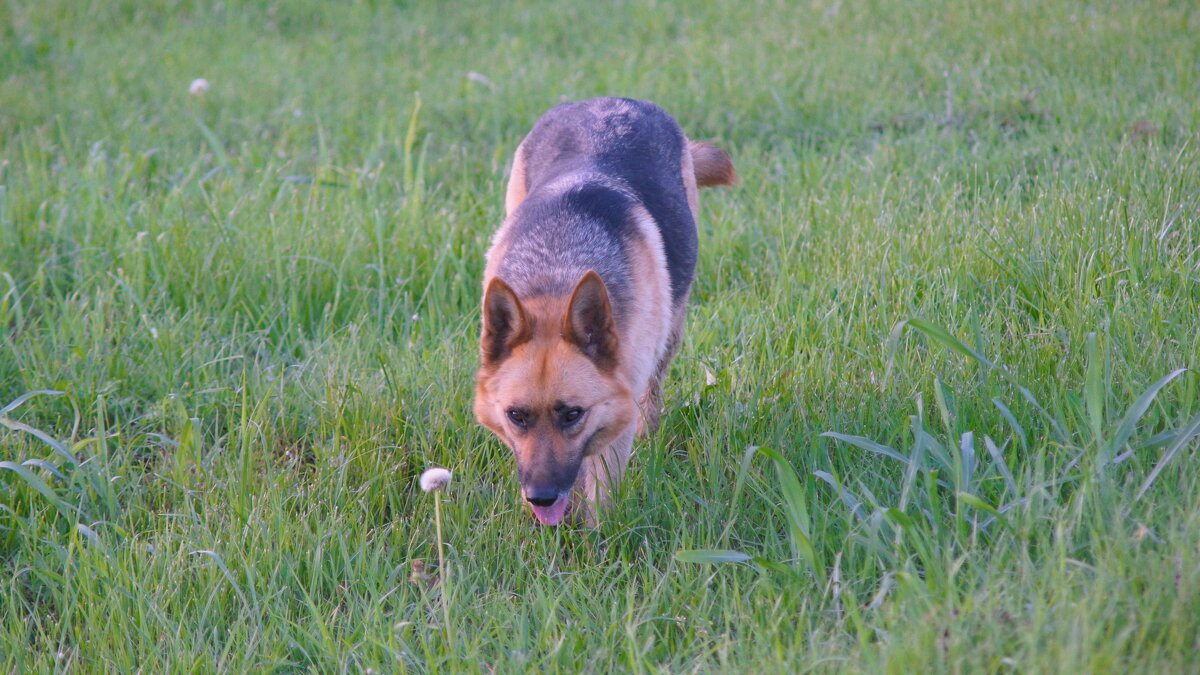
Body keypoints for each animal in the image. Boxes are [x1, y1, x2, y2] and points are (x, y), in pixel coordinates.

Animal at [472, 97, 734, 523]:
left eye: (572, 414)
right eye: (517, 416)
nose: (541, 497)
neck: (559, 270)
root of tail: (611, 101)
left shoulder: (615, 420)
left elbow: (602, 504)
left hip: (668, 339)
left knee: (651, 401)